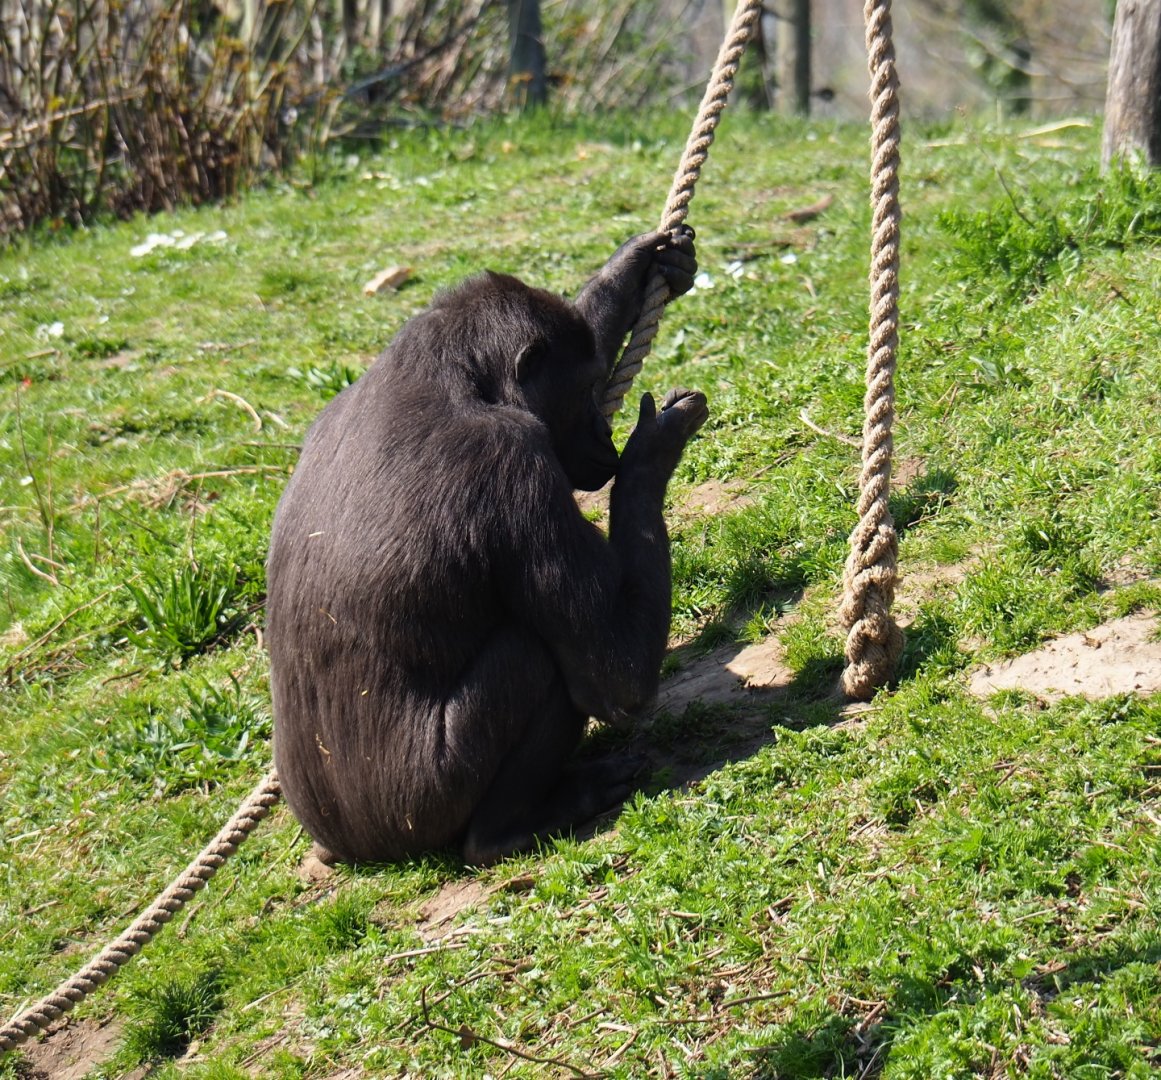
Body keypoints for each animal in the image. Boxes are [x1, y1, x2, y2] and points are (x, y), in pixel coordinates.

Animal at [266, 228, 707, 865]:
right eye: (584, 390)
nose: (604, 433)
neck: (455, 377)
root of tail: (353, 851)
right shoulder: (515, 462)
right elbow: (617, 676)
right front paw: (654, 446)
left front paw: (632, 265)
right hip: (422, 811)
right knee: (534, 659)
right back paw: (511, 826)